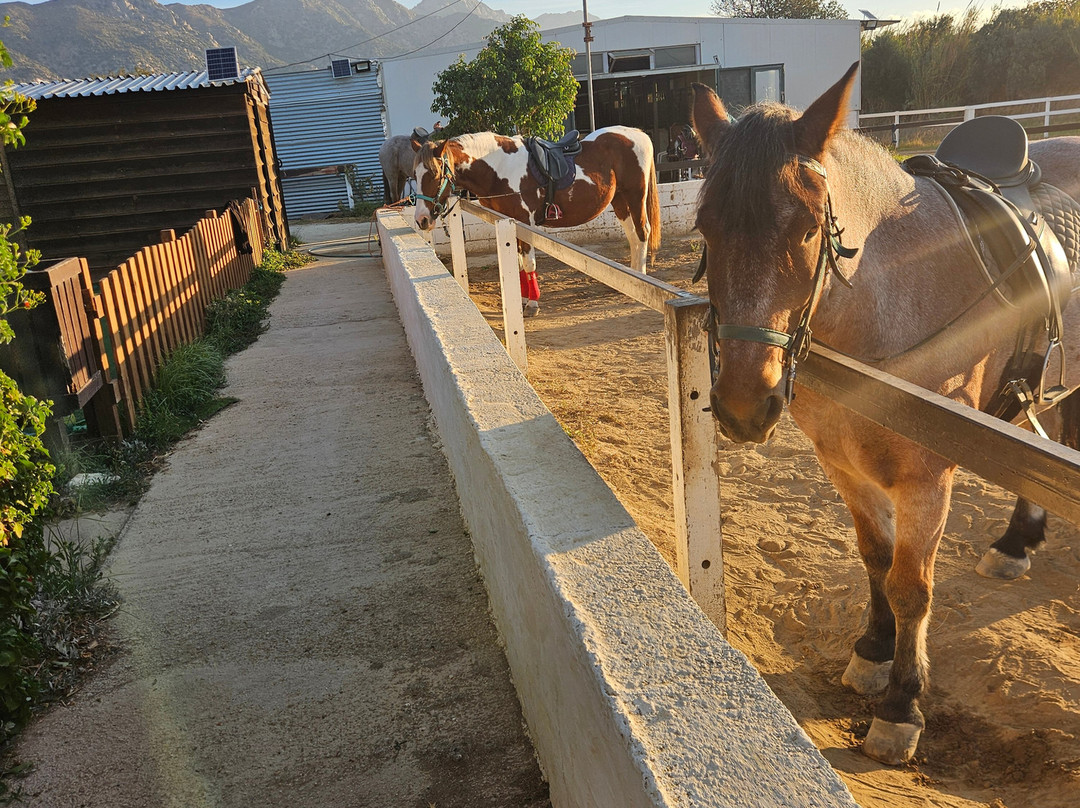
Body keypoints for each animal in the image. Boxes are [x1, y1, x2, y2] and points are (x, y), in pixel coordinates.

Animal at [410, 126, 661, 315]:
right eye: (414, 175)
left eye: (434, 174)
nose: (422, 219)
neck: (498, 167)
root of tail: (638, 134)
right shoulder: (510, 224)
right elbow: (519, 263)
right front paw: (522, 299)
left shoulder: (525, 221)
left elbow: (529, 263)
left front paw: (532, 304)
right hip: (619, 200)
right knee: (633, 236)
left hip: (635, 195)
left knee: (642, 232)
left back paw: (640, 278)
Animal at [690, 62, 1080, 765]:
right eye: (706, 227)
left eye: (807, 230)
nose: (743, 405)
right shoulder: (842, 461)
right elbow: (875, 555)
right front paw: (872, 653)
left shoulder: (926, 479)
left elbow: (910, 586)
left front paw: (901, 705)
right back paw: (1016, 541)